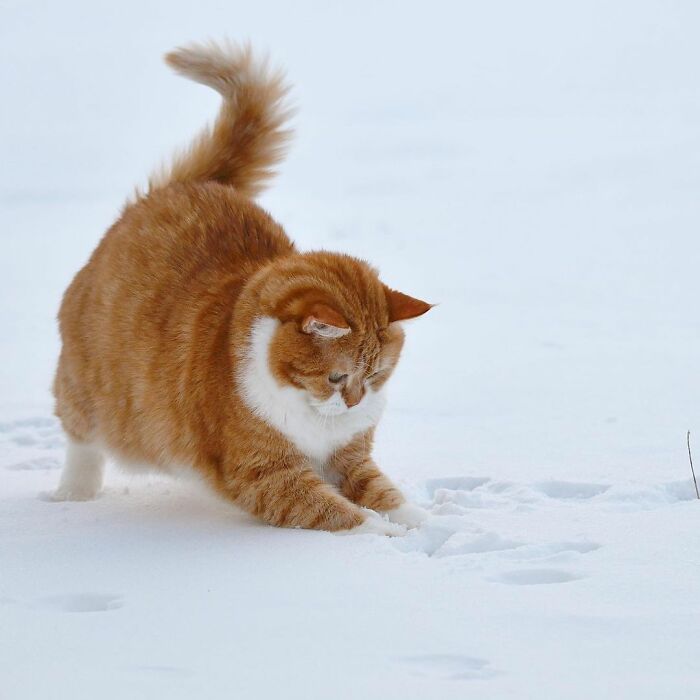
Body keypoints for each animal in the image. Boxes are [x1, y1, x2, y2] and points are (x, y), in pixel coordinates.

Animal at [50, 41, 432, 532]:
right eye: (336, 377)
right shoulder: (266, 474)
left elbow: (387, 497)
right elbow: (345, 514)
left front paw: (429, 526)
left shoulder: (351, 460)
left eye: (376, 375)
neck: (311, 415)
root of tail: (180, 187)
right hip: (90, 391)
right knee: (81, 440)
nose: (352, 404)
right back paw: (73, 494)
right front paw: (383, 537)